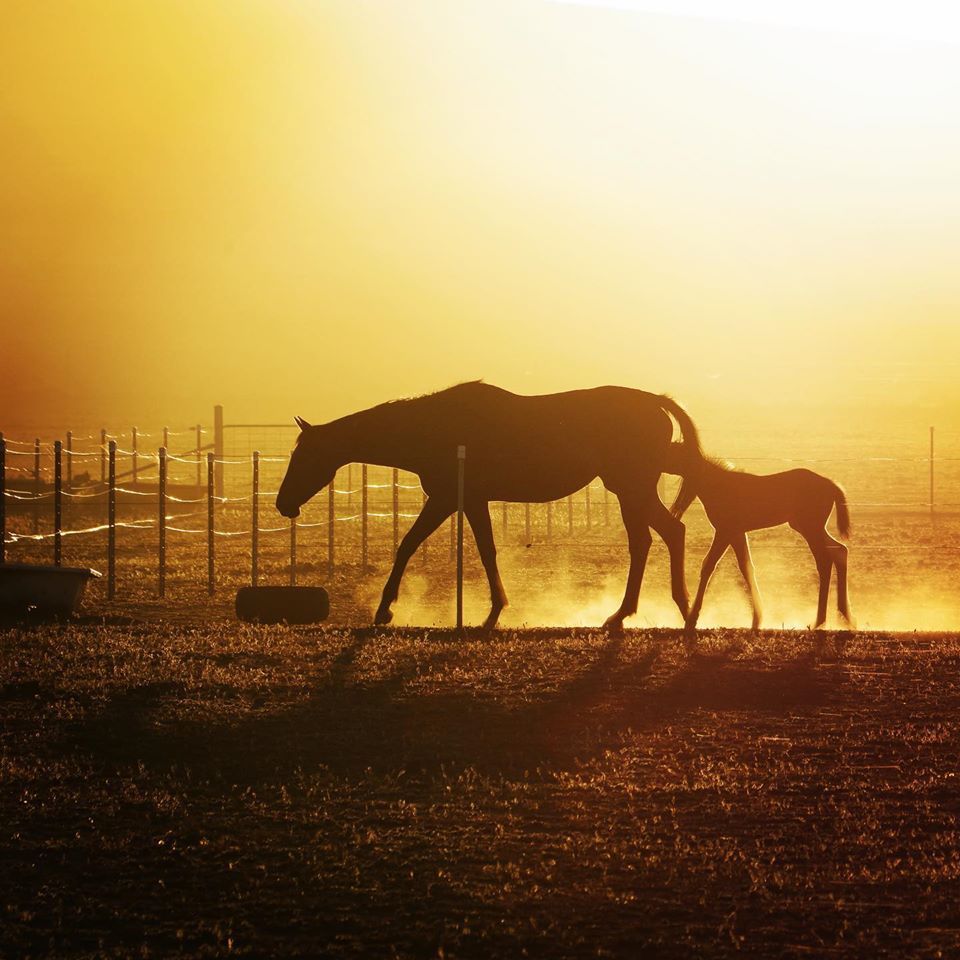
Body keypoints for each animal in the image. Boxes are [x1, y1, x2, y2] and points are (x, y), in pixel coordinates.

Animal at [275, 381, 705, 632]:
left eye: (305, 456)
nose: (282, 504)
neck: (433, 428)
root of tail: (655, 403)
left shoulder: (448, 499)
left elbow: (414, 546)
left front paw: (385, 611)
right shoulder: (465, 502)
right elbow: (478, 549)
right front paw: (495, 608)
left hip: (632, 489)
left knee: (660, 536)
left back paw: (658, 612)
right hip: (630, 491)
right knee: (655, 538)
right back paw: (650, 613)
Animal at [668, 455, 853, 634]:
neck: (720, 484)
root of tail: (830, 484)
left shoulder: (724, 532)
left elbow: (708, 565)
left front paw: (692, 619)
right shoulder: (737, 534)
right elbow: (746, 567)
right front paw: (756, 619)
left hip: (811, 529)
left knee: (825, 561)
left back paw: (820, 621)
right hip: (806, 527)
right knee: (840, 551)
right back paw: (846, 617)